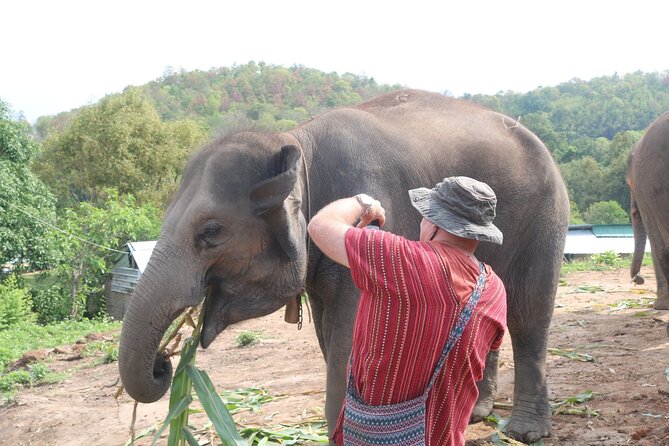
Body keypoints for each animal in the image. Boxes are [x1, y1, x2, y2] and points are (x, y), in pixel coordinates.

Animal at [118, 89, 569, 443]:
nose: (164, 364)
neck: (296, 142)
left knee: (529, 313)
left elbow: (350, 340)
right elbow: (329, 337)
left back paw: (525, 432)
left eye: (210, 232)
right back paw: (477, 413)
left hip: (544, 215)